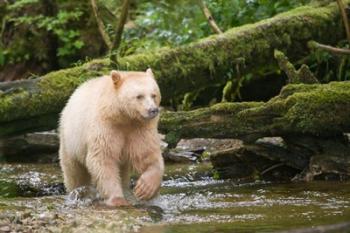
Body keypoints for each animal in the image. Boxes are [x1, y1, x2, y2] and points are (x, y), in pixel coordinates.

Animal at [58, 68, 164, 207]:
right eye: (139, 96)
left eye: (154, 95)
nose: (152, 110)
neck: (123, 116)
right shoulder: (105, 126)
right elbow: (103, 158)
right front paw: (117, 200)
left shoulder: (139, 128)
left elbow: (147, 154)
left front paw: (144, 188)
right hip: (70, 139)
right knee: (74, 172)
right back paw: (77, 192)